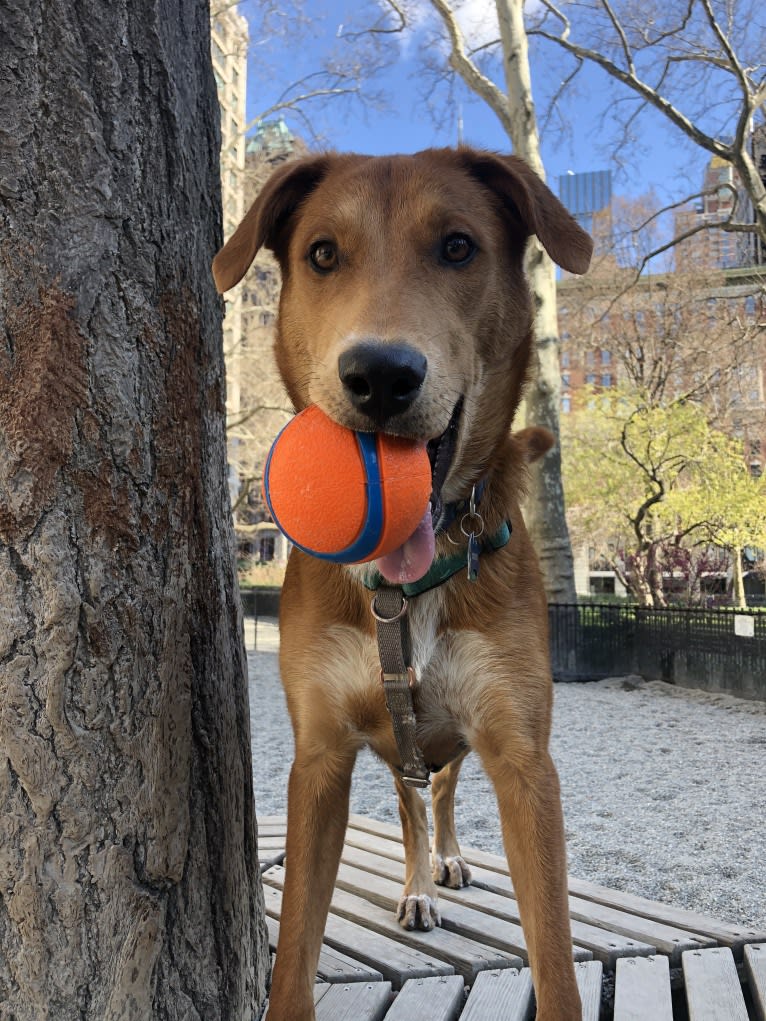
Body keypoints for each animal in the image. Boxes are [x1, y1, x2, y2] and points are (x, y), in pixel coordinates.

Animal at [216, 146, 592, 1021]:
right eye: (322, 254)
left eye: (458, 247)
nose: (380, 374)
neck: (403, 589)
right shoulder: (320, 759)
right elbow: (295, 954)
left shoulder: (525, 759)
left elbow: (555, 958)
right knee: (413, 804)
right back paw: (419, 883)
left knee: (443, 793)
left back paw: (445, 861)